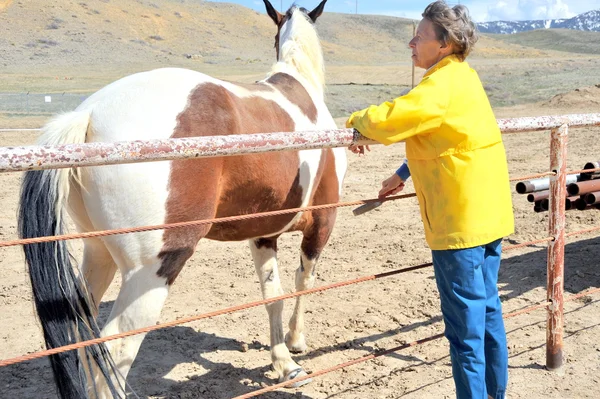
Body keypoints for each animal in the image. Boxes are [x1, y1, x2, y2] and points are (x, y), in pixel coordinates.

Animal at [17, 1, 346, 398]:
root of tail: (90, 114)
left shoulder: (263, 233)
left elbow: (273, 295)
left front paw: (283, 362)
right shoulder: (322, 223)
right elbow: (304, 280)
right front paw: (296, 343)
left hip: (97, 254)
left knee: (86, 339)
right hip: (152, 272)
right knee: (114, 350)